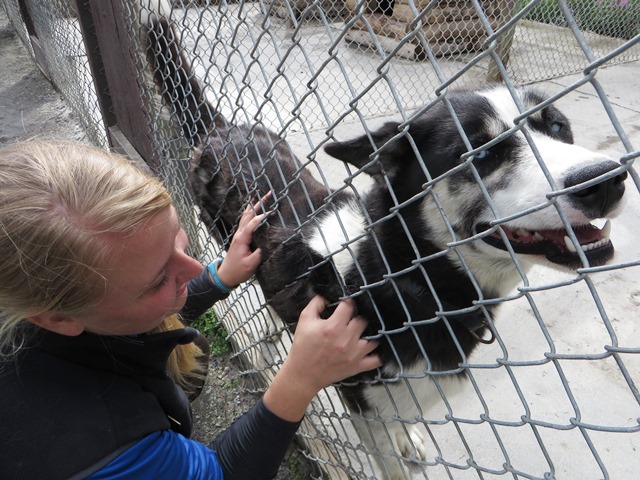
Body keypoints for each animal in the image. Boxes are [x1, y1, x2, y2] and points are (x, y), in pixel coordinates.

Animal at [144, 6, 624, 476]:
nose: (608, 180)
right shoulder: (363, 400)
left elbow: (404, 422)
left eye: (558, 127)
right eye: (482, 153)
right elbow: (388, 458)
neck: (406, 278)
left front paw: (408, 436)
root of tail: (221, 128)